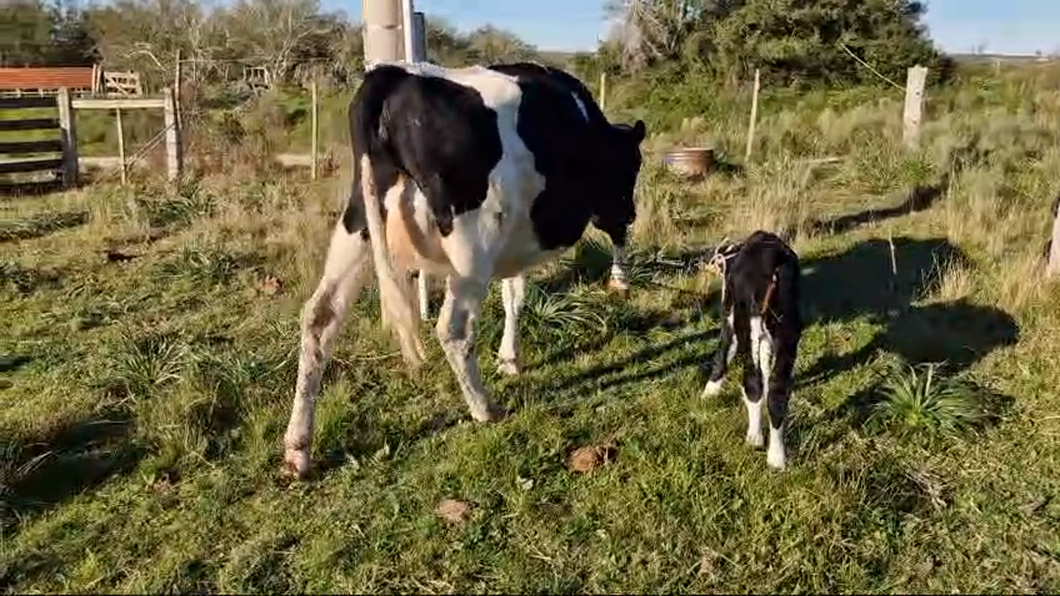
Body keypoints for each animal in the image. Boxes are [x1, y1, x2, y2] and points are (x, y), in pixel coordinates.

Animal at [284, 60, 644, 475]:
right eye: (634, 166)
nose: (634, 211)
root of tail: (394, 75)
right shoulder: (601, 203)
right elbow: (611, 239)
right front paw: (620, 281)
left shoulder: (514, 236)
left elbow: (514, 295)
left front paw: (509, 358)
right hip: (473, 242)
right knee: (453, 329)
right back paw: (485, 408)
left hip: (358, 223)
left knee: (319, 317)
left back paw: (297, 448)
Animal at [703, 230, 801, 466]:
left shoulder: (728, 315)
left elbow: (723, 349)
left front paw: (709, 392)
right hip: (787, 329)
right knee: (777, 389)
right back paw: (777, 458)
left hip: (744, 321)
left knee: (751, 381)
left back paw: (754, 438)